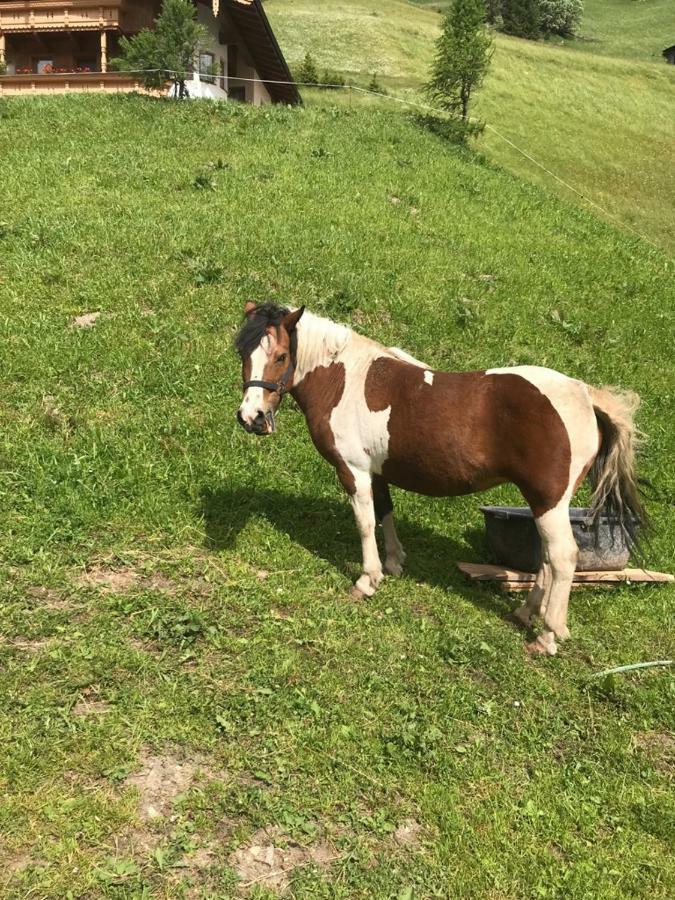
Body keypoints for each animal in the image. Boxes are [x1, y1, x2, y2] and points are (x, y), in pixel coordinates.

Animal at [236, 302, 644, 652]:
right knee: (545, 557)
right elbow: (385, 513)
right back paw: (525, 613)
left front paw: (368, 580)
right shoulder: (378, 471)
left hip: (549, 502)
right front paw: (394, 563)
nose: (251, 418)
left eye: (281, 356)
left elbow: (365, 523)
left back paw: (547, 636)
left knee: (561, 558)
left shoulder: (354, 471)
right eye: (243, 354)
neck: (341, 379)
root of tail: (585, 395)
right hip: (544, 504)